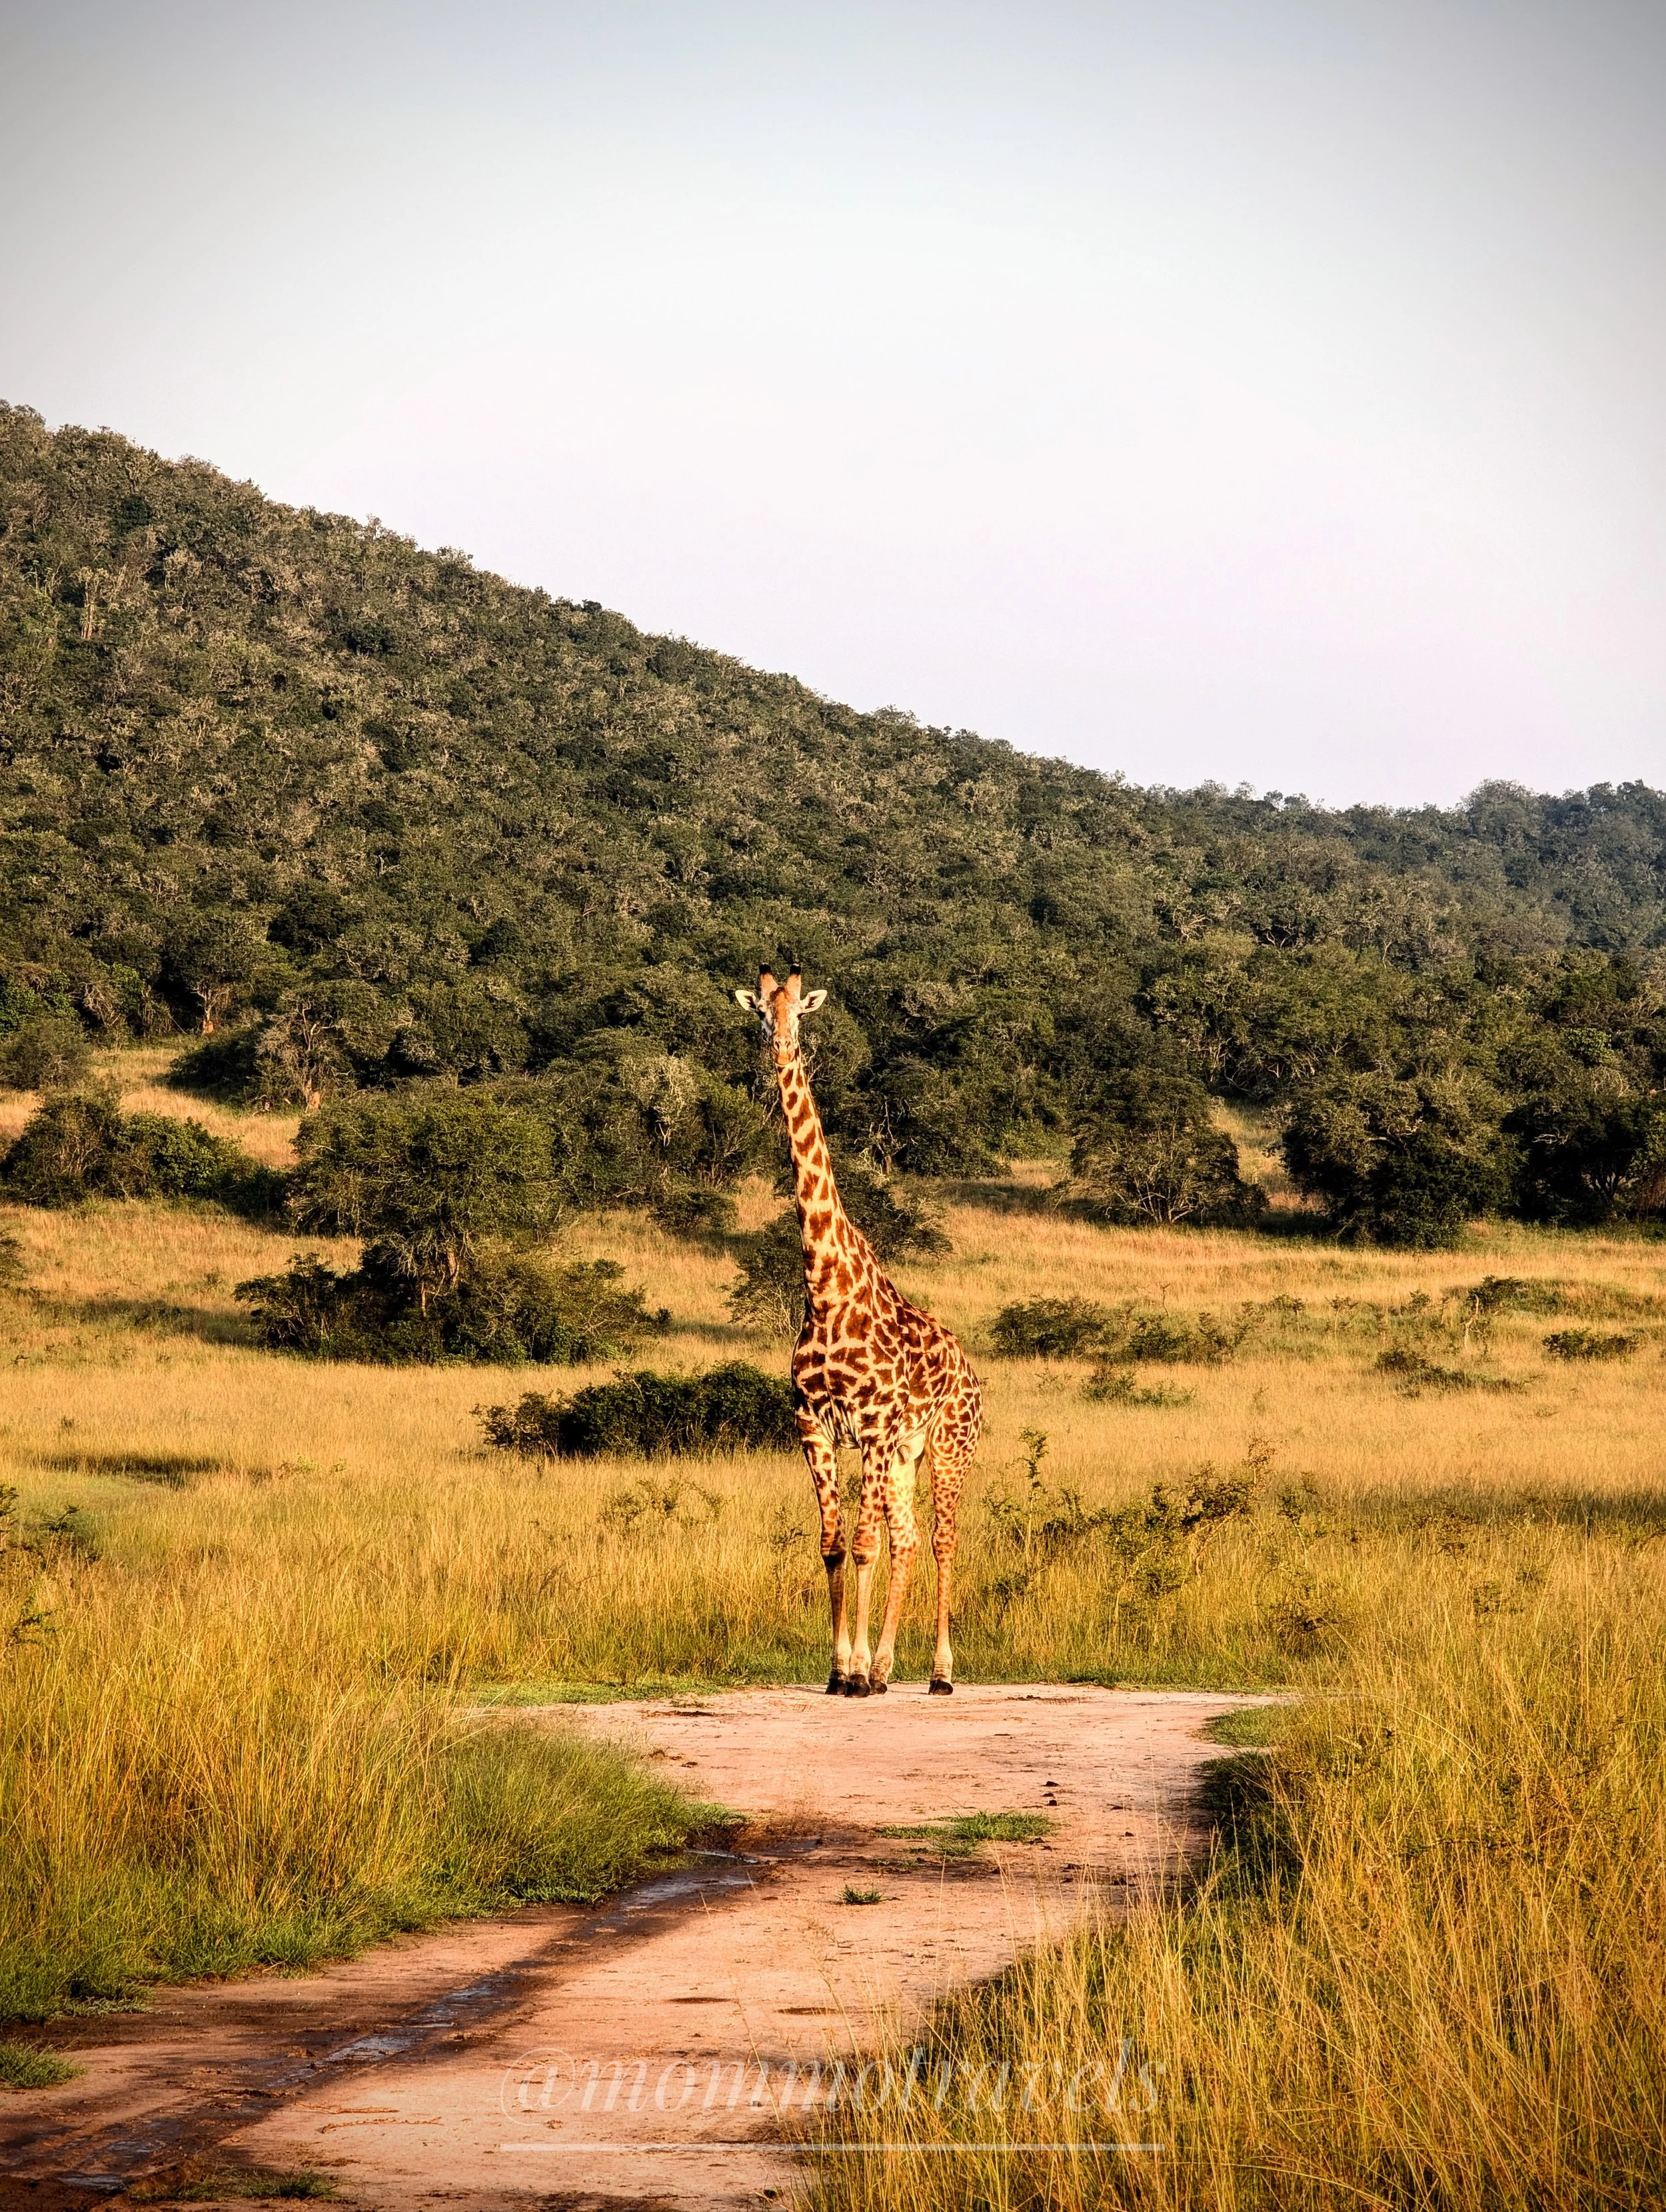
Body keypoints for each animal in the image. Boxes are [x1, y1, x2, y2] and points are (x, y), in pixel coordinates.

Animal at [735, 968, 983, 1697]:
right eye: (762, 1013)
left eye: (800, 1012)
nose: (781, 1046)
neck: (824, 1285)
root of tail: (972, 1371)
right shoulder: (812, 1424)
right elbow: (835, 1544)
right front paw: (841, 1668)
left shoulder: (871, 1426)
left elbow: (866, 1544)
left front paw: (856, 1674)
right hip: (905, 1454)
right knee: (907, 1538)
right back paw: (885, 1664)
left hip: (949, 1445)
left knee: (939, 1539)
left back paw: (939, 1672)